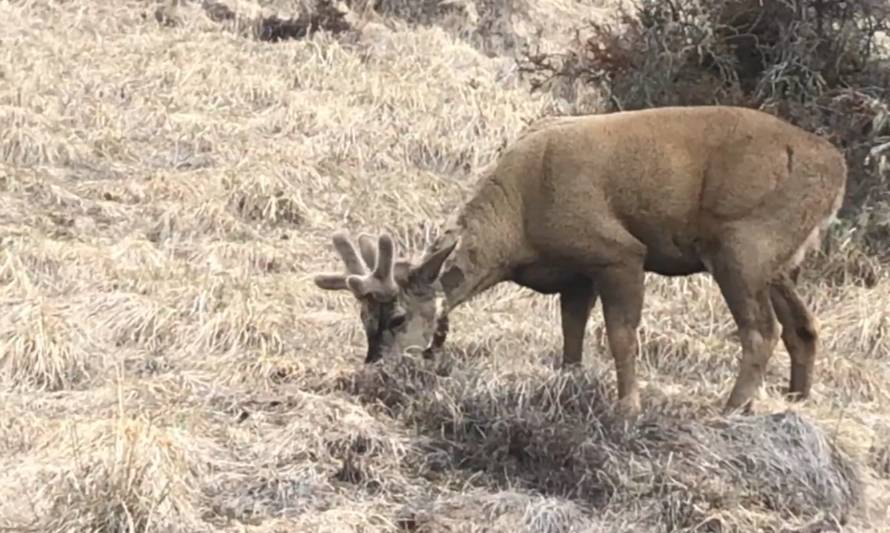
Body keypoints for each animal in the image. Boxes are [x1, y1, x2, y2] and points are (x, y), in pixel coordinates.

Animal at [312, 106, 848, 418]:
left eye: (399, 317)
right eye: (363, 319)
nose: (373, 369)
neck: (522, 223)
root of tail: (838, 168)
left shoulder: (616, 251)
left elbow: (621, 336)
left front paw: (627, 407)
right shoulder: (575, 273)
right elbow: (571, 335)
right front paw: (569, 384)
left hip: (743, 242)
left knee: (761, 330)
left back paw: (731, 408)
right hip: (777, 258)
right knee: (803, 326)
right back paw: (797, 403)